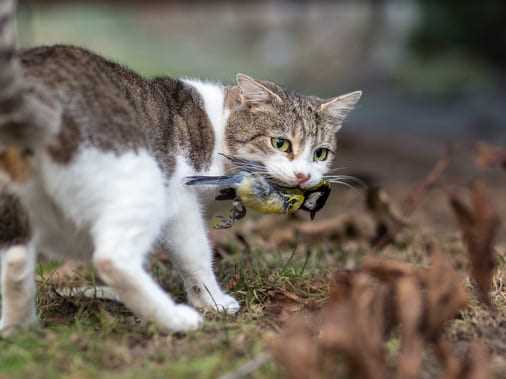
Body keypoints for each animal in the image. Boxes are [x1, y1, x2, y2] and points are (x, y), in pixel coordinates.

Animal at [0, 0, 362, 332]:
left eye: (321, 153)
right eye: (280, 143)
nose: (303, 176)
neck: (217, 127)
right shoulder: (180, 200)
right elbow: (195, 256)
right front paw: (213, 302)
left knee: (15, 261)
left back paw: (20, 328)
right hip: (142, 181)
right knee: (111, 258)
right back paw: (176, 319)